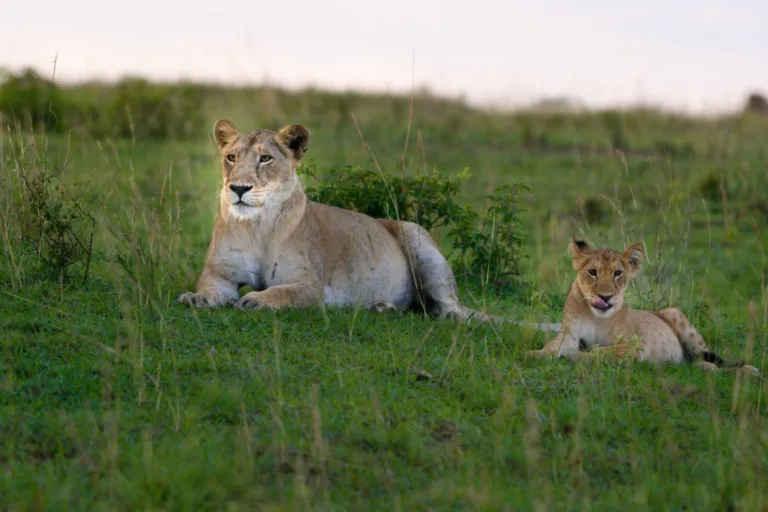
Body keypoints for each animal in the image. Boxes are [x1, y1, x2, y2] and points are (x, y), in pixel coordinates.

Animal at [177, 119, 560, 330]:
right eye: (231, 157)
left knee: (448, 312)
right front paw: (195, 299)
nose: (238, 188)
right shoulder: (220, 274)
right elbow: (210, 288)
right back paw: (381, 307)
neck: (257, 225)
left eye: (266, 159)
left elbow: (283, 293)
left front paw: (256, 300)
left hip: (417, 238)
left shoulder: (309, 284)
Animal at [527, 237, 760, 375]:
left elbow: (601, 352)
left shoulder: (632, 345)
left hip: (677, 317)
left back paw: (747, 370)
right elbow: (551, 346)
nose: (605, 297)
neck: (597, 317)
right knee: (696, 363)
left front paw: (575, 356)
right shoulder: (568, 336)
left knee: (714, 359)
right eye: (592, 272)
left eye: (617, 273)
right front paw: (534, 354)